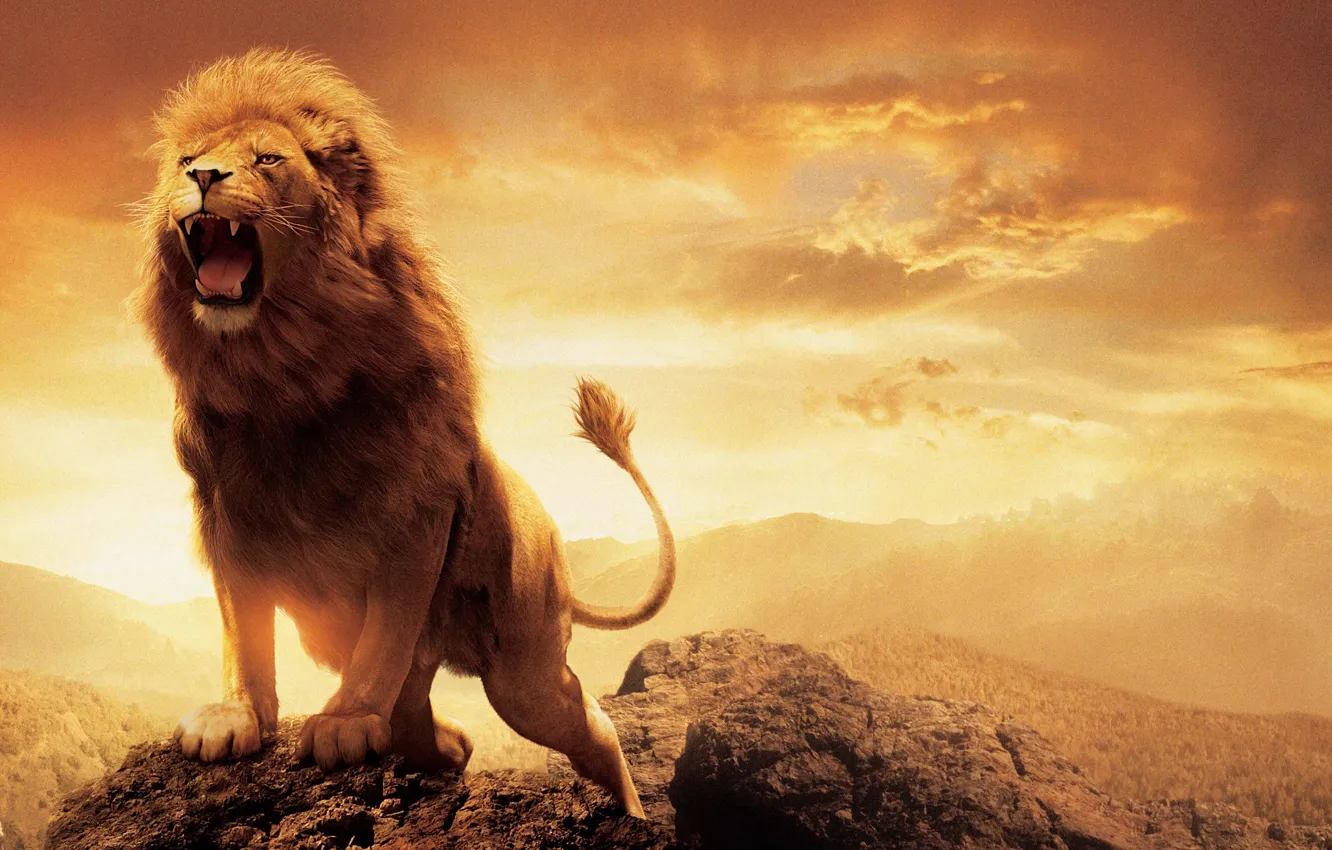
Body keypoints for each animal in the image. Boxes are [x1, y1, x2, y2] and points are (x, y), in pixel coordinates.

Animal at [133, 49, 675, 818]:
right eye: (186, 161)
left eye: (267, 159)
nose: (205, 178)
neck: (280, 371)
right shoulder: (227, 513)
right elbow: (245, 630)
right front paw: (235, 716)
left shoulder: (414, 511)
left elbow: (385, 635)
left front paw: (346, 721)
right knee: (426, 709)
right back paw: (444, 747)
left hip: (525, 670)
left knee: (588, 723)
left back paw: (631, 812)